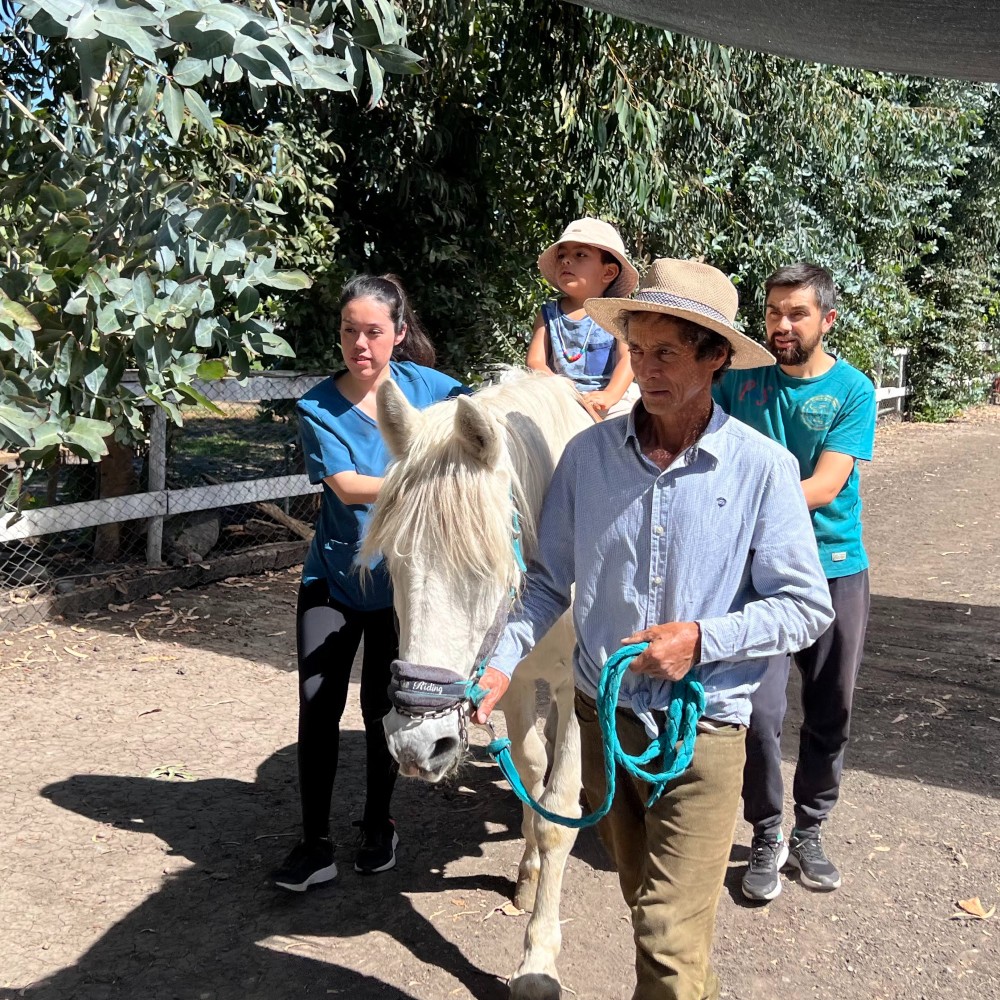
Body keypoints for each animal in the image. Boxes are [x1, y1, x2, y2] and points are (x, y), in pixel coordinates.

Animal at [366, 376, 596, 1000]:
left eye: (480, 566)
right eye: (393, 563)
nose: (417, 746)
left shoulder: (580, 692)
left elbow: (559, 809)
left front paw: (539, 960)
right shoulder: (511, 679)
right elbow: (534, 778)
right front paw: (528, 874)